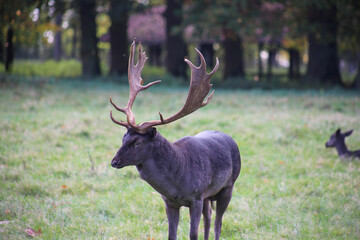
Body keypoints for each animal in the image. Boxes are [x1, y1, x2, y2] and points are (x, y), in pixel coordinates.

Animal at [108, 39, 240, 240]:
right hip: (209, 195)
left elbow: (193, 234)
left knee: (218, 222)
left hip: (228, 186)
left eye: (138, 142)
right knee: (209, 218)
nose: (114, 161)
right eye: (123, 138)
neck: (176, 184)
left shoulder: (196, 197)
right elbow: (171, 234)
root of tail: (229, 138)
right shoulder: (169, 201)